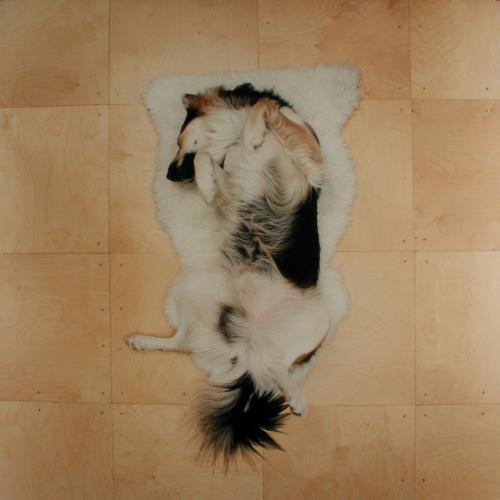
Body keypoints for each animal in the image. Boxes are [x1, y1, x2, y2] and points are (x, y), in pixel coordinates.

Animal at [128, 84, 334, 463]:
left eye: (178, 139)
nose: (169, 176)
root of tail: (248, 339)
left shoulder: (312, 159)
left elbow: (264, 107)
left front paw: (260, 128)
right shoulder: (224, 186)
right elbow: (207, 161)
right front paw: (243, 140)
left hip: (315, 319)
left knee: (277, 367)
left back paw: (295, 397)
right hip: (195, 284)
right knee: (184, 343)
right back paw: (143, 342)